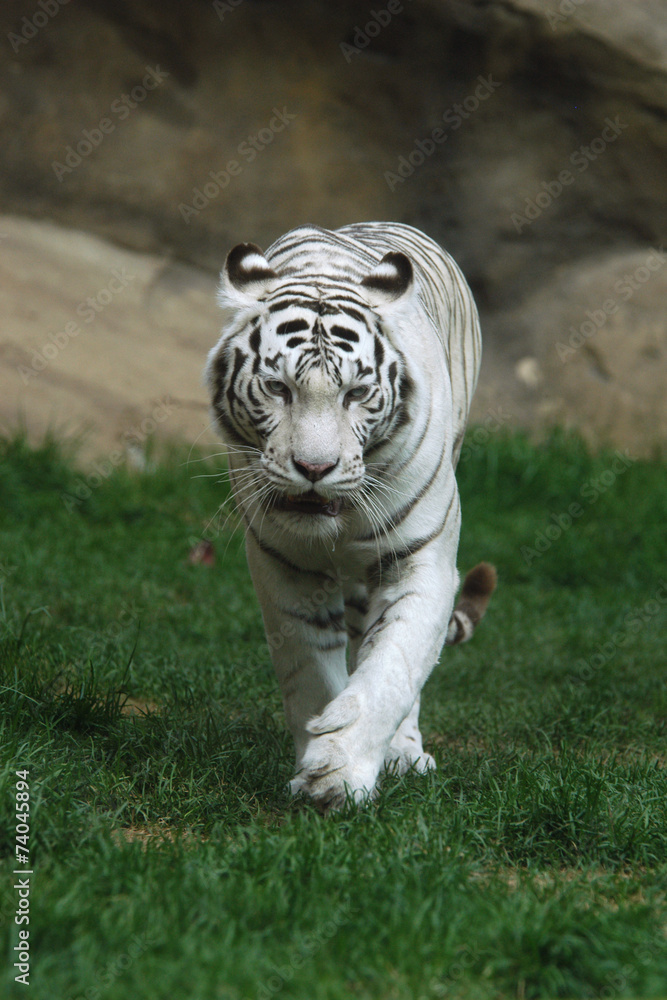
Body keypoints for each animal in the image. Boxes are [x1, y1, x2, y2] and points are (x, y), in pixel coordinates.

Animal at [205, 222, 496, 810]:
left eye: (356, 393)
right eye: (278, 387)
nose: (315, 468)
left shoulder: (421, 559)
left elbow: (394, 666)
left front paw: (339, 775)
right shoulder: (282, 563)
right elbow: (309, 667)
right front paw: (317, 764)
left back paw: (405, 754)